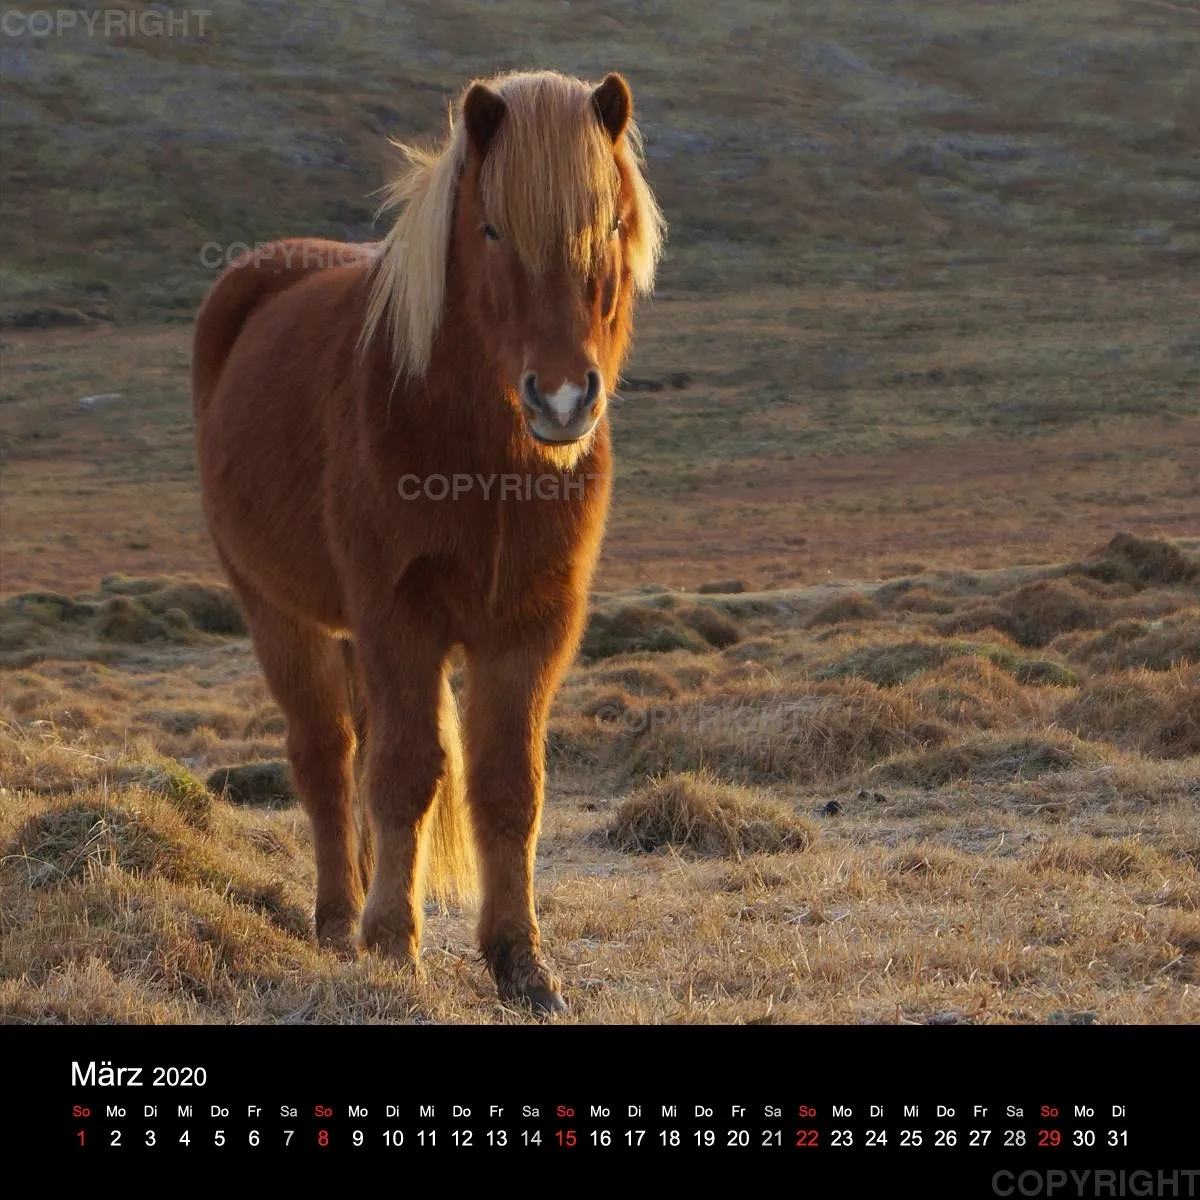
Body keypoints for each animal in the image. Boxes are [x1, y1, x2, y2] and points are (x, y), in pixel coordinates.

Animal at [192, 70, 665, 1014]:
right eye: (491, 228)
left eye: (609, 224)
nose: (563, 399)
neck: (482, 457)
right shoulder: (396, 620)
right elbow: (407, 773)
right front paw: (392, 944)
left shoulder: (531, 630)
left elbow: (508, 787)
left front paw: (522, 963)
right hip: (278, 614)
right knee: (328, 761)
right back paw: (340, 920)